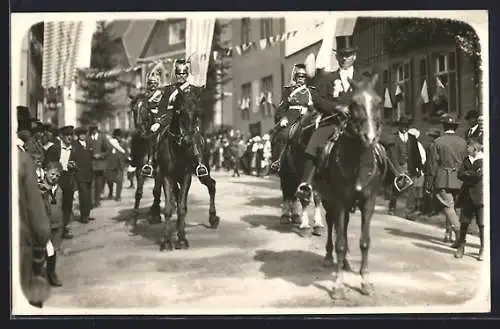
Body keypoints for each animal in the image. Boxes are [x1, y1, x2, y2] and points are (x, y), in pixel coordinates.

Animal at [128, 92, 163, 226]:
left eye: (145, 109)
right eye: (134, 109)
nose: (139, 130)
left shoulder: (159, 173)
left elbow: (156, 192)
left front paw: (156, 215)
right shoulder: (140, 171)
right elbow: (138, 193)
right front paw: (134, 217)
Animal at [155, 86, 220, 249]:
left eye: (197, 113)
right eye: (179, 111)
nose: (189, 141)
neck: (177, 147)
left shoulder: (186, 176)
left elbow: (182, 207)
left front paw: (182, 239)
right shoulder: (167, 176)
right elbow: (168, 208)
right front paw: (166, 240)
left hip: (202, 171)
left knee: (211, 185)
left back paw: (212, 218)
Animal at [298, 73, 384, 298]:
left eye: (379, 102)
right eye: (353, 103)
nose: (370, 137)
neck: (358, 161)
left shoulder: (368, 203)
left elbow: (364, 242)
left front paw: (365, 282)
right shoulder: (340, 202)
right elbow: (340, 243)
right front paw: (337, 286)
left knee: (342, 228)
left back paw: (344, 263)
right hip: (329, 200)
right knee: (332, 226)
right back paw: (330, 258)